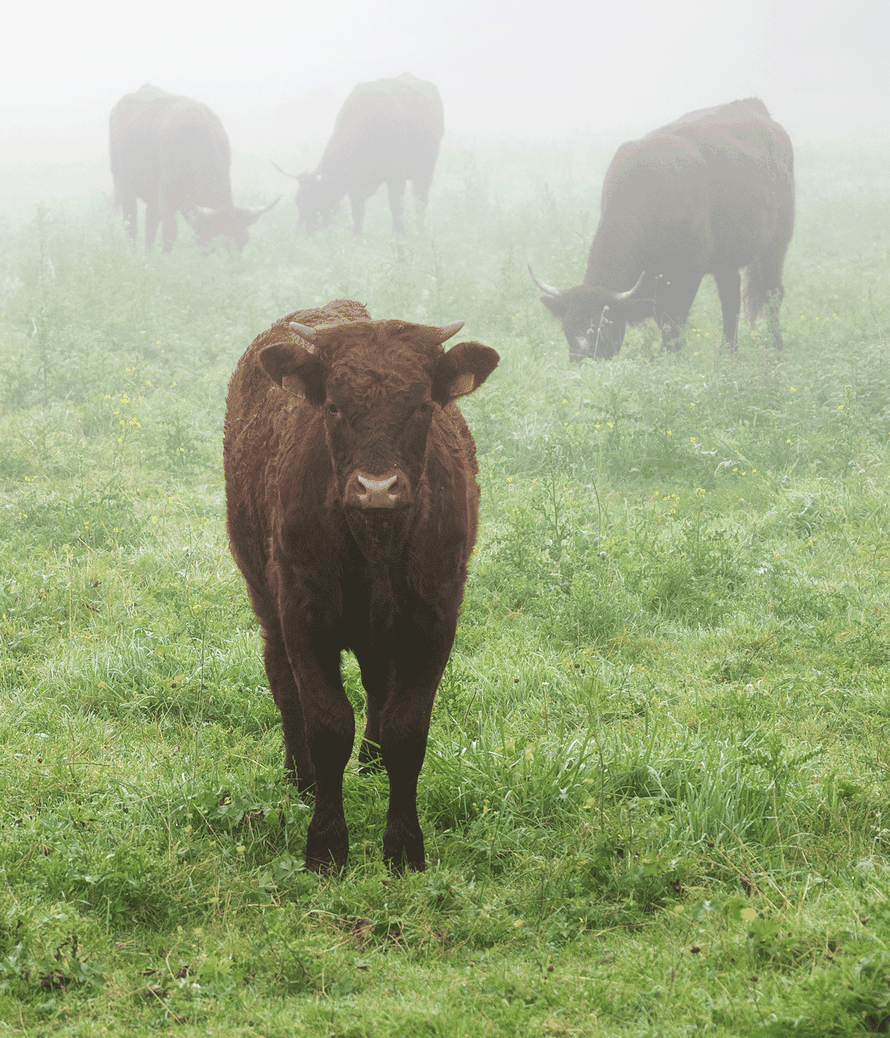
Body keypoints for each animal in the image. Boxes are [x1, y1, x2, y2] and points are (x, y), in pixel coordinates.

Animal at [109, 84, 278, 252]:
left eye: (243, 242)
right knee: (131, 221)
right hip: (123, 183)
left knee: (150, 222)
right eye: (217, 243)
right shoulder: (167, 193)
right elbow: (169, 232)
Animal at [223, 298, 499, 872]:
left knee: (377, 687)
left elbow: (407, 729)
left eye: (422, 405)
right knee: (282, 678)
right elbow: (327, 724)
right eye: (332, 406)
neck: (376, 546)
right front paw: (326, 845)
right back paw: (300, 778)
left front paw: (404, 847)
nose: (377, 489)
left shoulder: (435, 617)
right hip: (264, 593)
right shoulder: (304, 614)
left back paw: (370, 764)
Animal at [282, 74, 444, 236]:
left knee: (420, 200)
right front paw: (357, 236)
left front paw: (399, 235)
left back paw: (420, 228)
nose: (303, 233)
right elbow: (358, 212)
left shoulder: (396, 176)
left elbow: (396, 206)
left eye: (315, 202)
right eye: (298, 202)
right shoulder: (355, 185)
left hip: (425, 170)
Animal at [530, 98, 795, 361]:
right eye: (567, 329)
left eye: (602, 329)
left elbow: (673, 318)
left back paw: (777, 347)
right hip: (727, 257)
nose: (582, 362)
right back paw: (728, 352)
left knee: (772, 294)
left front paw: (670, 354)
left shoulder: (688, 272)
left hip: (776, 244)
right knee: (730, 296)